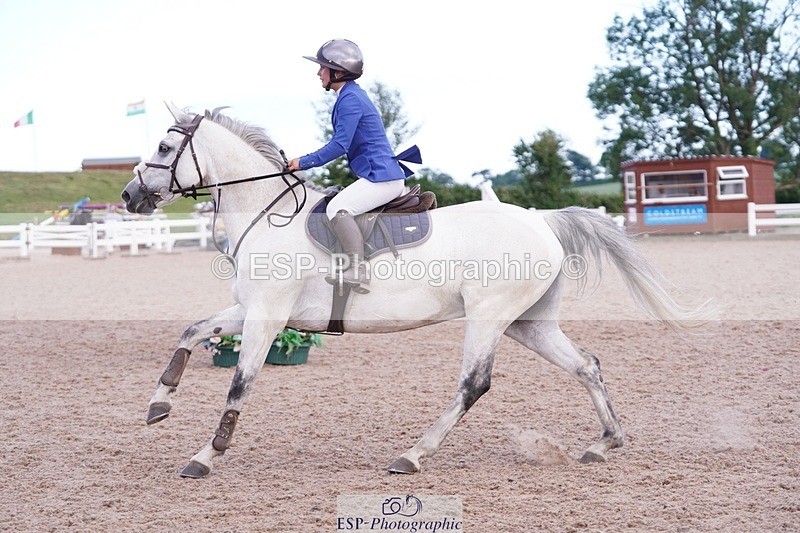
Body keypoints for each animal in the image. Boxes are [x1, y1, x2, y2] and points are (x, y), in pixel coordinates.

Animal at [121, 104, 716, 478]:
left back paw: (413, 454)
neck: (268, 214)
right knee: (586, 365)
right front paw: (159, 405)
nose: (129, 196)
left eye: (165, 146)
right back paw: (603, 443)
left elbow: (239, 386)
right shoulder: (252, 309)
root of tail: (539, 219)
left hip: (489, 316)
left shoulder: (268, 316)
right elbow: (192, 331)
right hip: (529, 323)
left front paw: (207, 455)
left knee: (474, 384)